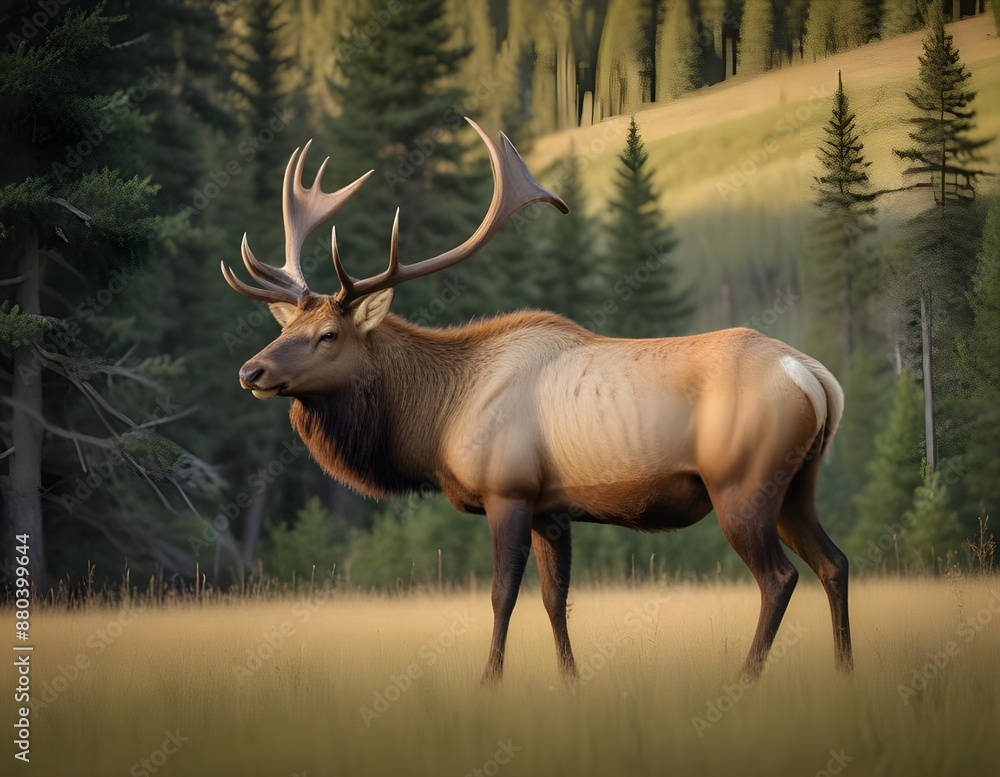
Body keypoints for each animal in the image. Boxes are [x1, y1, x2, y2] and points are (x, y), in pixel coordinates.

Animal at [222, 119, 853, 684]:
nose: (250, 370)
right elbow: (555, 599)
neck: (438, 421)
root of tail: (815, 376)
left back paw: (747, 677)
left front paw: (489, 680)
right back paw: (843, 669)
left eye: (328, 335)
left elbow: (503, 594)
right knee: (834, 562)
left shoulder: (508, 489)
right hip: (798, 483)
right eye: (285, 327)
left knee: (779, 578)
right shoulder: (553, 509)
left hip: (741, 481)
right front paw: (570, 680)